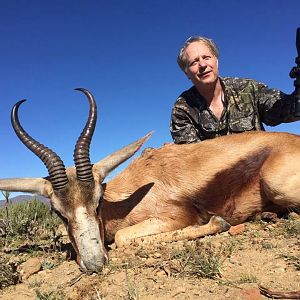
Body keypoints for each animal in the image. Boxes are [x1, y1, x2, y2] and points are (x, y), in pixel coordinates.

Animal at [0, 88, 300, 272]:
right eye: (57, 212)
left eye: (98, 200)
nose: (95, 263)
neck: (128, 200)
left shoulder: (176, 217)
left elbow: (122, 238)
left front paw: (218, 222)